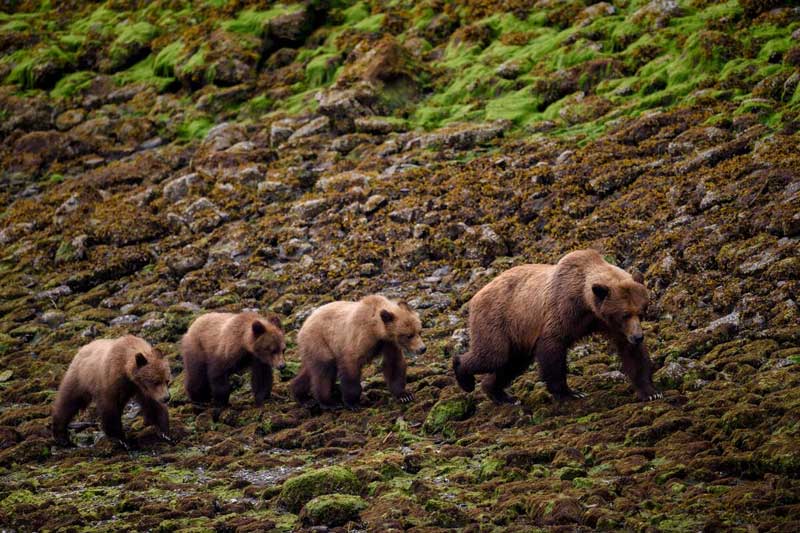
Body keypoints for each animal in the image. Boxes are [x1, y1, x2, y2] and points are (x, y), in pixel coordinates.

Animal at [290, 295, 426, 409]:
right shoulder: (358, 338)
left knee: (309, 371)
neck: (376, 330)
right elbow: (351, 365)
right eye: (409, 335)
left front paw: (405, 395)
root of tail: (303, 326)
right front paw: (352, 402)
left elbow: (394, 364)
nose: (422, 348)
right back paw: (328, 402)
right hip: (320, 342)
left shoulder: (389, 343)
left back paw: (302, 396)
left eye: (419, 331)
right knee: (324, 371)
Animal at [453, 249, 661, 404]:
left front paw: (651, 391)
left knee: (513, 363)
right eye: (624, 314)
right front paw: (570, 392)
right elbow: (552, 347)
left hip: (517, 334)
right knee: (493, 355)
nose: (638, 336)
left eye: (641, 311)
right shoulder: (563, 309)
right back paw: (464, 377)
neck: (586, 303)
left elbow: (631, 353)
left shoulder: (608, 323)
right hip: (498, 319)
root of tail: (477, 294)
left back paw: (501, 394)